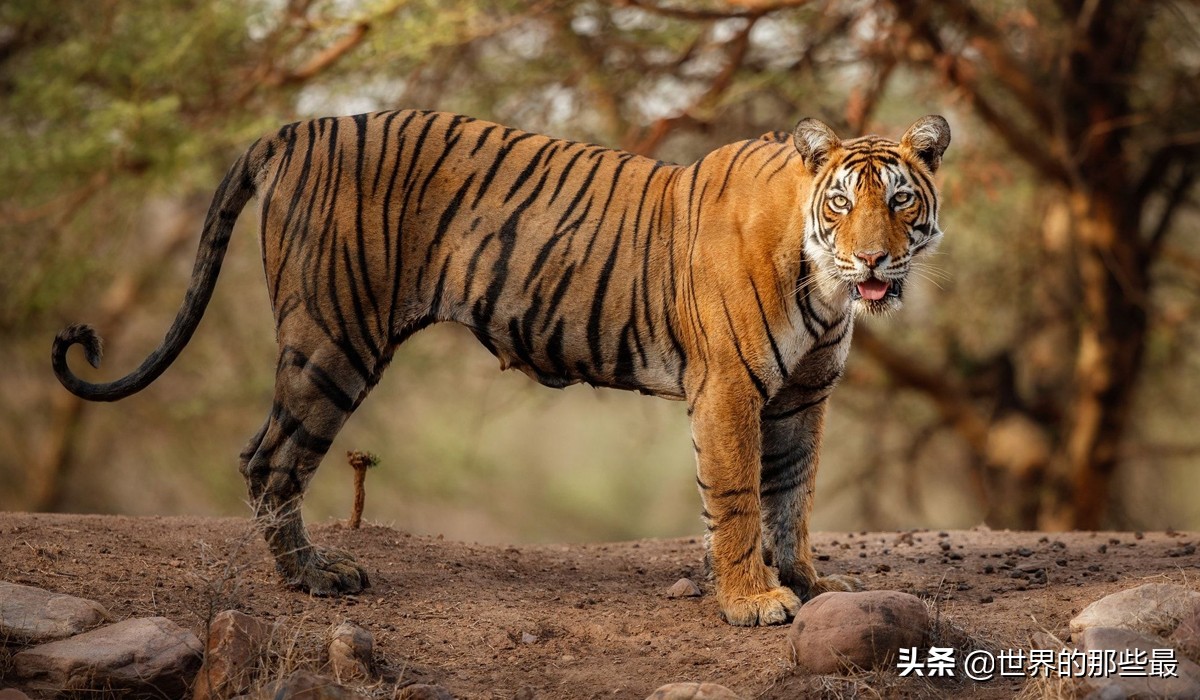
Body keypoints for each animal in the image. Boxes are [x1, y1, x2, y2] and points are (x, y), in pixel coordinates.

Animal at [56, 111, 950, 629]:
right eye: (843, 203)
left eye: (901, 200)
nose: (874, 259)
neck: (826, 285)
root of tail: (293, 130)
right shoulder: (729, 388)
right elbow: (737, 500)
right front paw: (753, 601)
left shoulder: (803, 396)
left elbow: (791, 496)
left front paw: (807, 583)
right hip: (333, 338)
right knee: (269, 458)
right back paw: (313, 577)